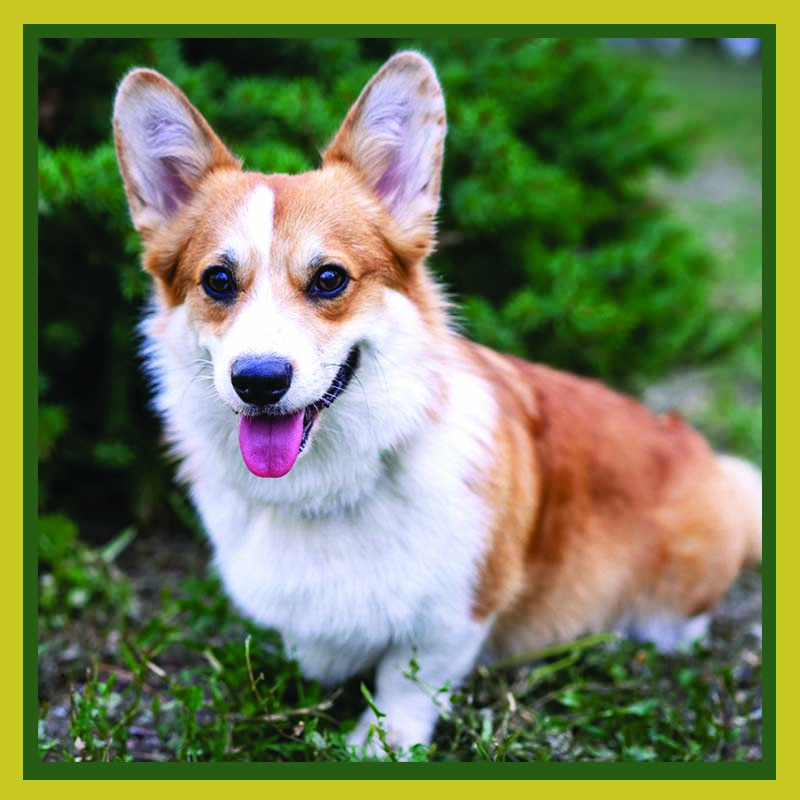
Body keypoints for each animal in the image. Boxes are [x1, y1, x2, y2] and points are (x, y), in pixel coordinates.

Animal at [111, 51, 756, 756]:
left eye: (329, 278)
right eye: (218, 281)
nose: (258, 380)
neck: (330, 486)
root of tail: (698, 450)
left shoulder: (457, 613)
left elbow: (408, 678)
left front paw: (380, 741)